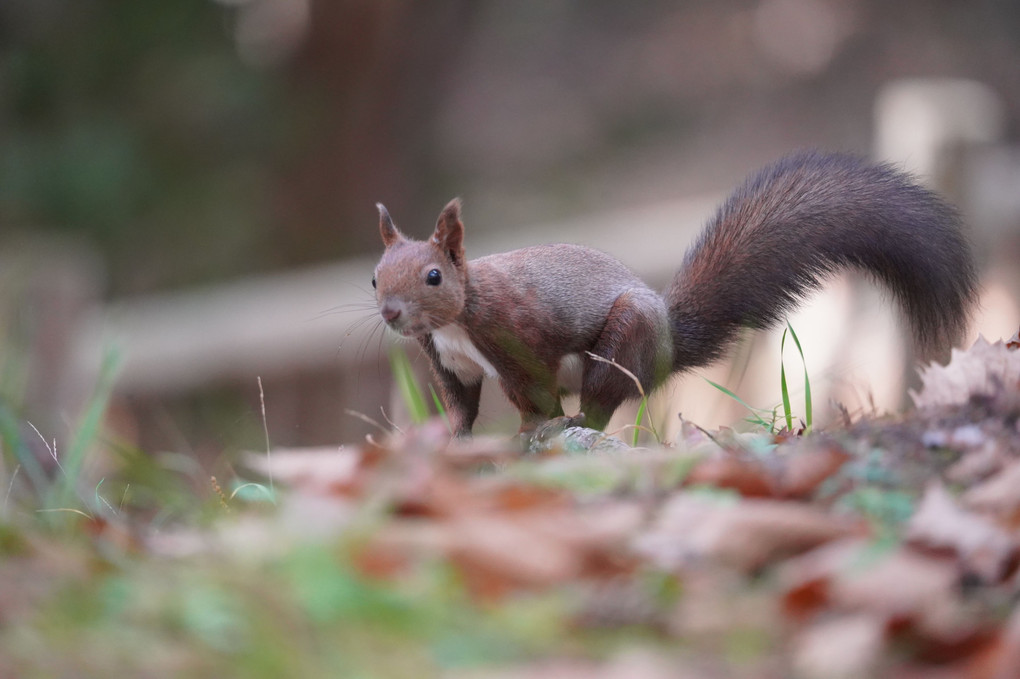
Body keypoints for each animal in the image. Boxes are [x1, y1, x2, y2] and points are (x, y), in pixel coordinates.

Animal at [373, 149, 979, 434]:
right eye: (375, 276)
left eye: (434, 276)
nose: (390, 313)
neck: (456, 323)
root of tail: (667, 341)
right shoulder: (449, 363)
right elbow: (462, 408)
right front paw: (448, 440)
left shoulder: (517, 337)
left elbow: (534, 399)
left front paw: (524, 434)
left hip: (622, 342)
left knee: (600, 404)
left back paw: (576, 423)